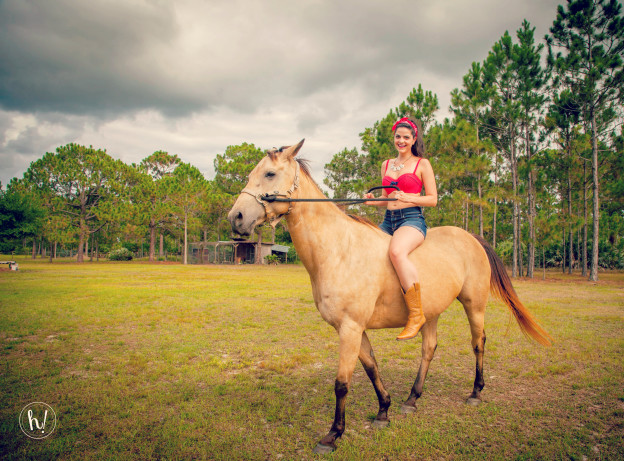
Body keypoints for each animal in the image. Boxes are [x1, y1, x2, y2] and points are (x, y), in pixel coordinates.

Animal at [227, 138, 548, 452]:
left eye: (270, 174)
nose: (236, 218)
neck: (339, 249)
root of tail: (471, 237)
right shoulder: (353, 329)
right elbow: (371, 367)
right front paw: (384, 410)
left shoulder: (350, 327)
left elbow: (342, 382)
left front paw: (333, 435)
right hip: (430, 312)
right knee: (429, 348)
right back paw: (412, 399)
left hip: (474, 305)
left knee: (478, 343)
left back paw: (475, 393)